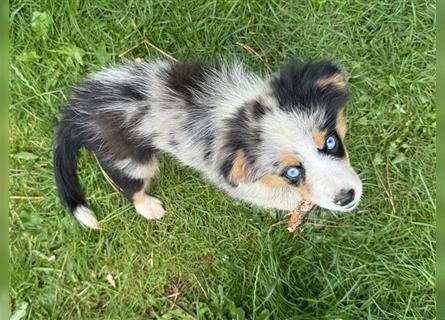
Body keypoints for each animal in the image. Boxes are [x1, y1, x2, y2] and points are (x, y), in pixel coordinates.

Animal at [53, 59, 362, 228]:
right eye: (292, 172)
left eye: (331, 141)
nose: (347, 198)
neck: (238, 113)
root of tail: (80, 106)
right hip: (132, 158)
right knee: (129, 187)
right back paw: (149, 207)